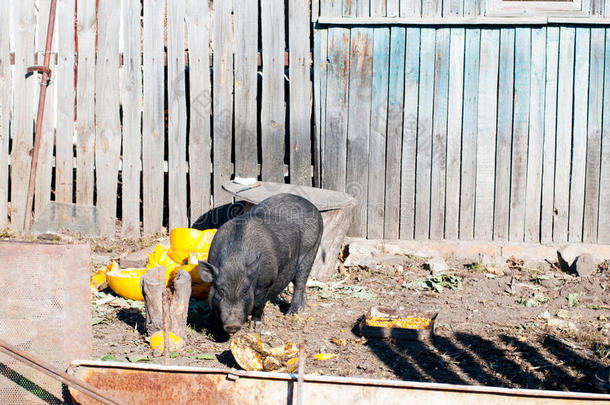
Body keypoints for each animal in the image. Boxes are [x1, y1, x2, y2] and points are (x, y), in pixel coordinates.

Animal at [198, 193, 324, 334]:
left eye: (245, 292)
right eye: (220, 292)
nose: (232, 325)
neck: (234, 261)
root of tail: (312, 206)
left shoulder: (266, 282)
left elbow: (258, 304)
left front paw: (255, 326)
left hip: (310, 251)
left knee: (300, 282)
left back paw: (292, 312)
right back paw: (302, 307)